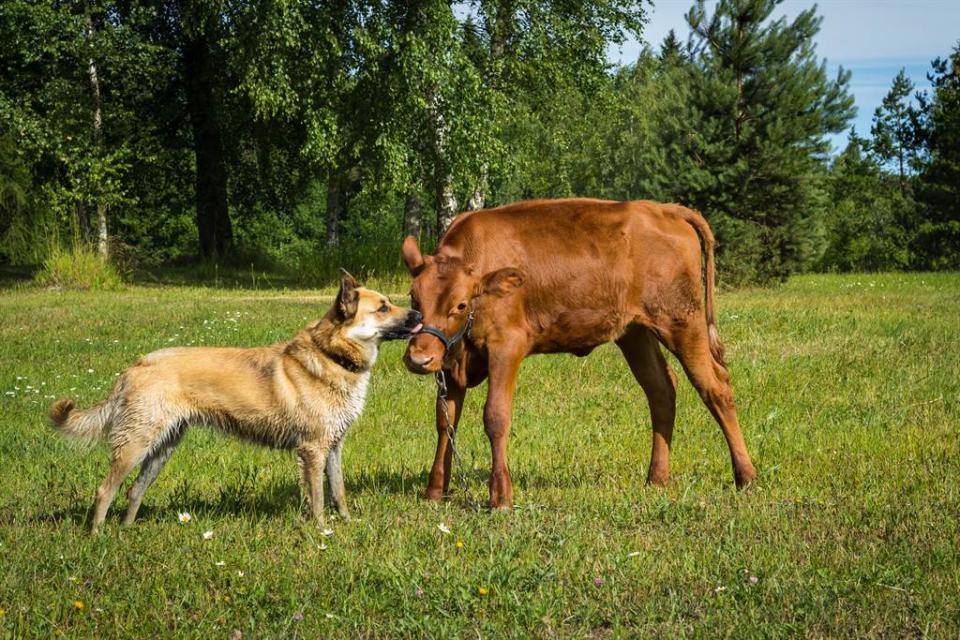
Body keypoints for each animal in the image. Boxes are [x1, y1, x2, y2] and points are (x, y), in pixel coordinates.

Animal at [49, 268, 420, 528]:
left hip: (162, 449)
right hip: (136, 444)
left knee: (133, 491)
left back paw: (126, 532)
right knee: (104, 491)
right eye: (383, 307)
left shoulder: (334, 446)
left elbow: (339, 491)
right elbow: (316, 498)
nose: (418, 315)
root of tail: (134, 366)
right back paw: (99, 536)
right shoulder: (312, 450)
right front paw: (321, 531)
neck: (332, 355)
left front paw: (346, 524)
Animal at [400, 198, 756, 508]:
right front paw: (434, 491)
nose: (418, 359)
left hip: (682, 321)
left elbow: (496, 416)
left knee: (715, 387)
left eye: (460, 305)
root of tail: (664, 209)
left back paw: (746, 476)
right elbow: (445, 420)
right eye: (414, 297)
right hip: (635, 333)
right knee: (661, 390)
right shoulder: (450, 361)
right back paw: (657, 477)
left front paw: (500, 496)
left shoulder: (507, 346)